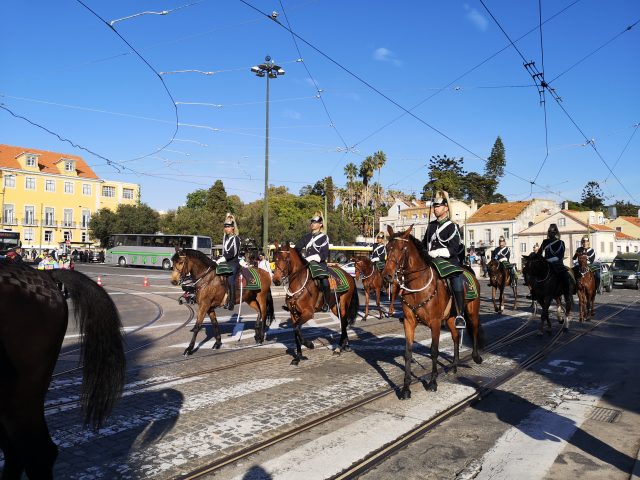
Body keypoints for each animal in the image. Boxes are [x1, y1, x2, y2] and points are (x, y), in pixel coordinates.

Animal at [380, 227, 484, 400]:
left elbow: (434, 351)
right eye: (387, 248)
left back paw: (475, 356)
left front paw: (433, 382)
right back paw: (454, 365)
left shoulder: (435, 323)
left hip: (472, 311)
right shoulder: (409, 322)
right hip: (450, 318)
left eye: (402, 249)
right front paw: (406, 388)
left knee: (474, 329)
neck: (417, 288)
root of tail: (468, 271)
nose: (387, 275)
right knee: (456, 337)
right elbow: (408, 353)